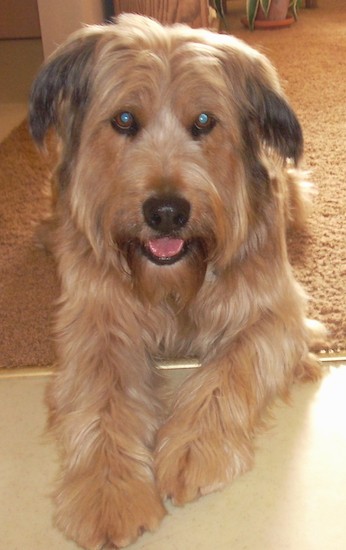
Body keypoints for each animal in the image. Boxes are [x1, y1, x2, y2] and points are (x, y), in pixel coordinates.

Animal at [29, 15, 324, 550]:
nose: (166, 212)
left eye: (204, 121)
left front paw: (192, 447)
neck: (174, 281)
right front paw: (108, 489)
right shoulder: (94, 322)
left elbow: (228, 370)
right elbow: (99, 397)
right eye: (125, 119)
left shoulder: (279, 315)